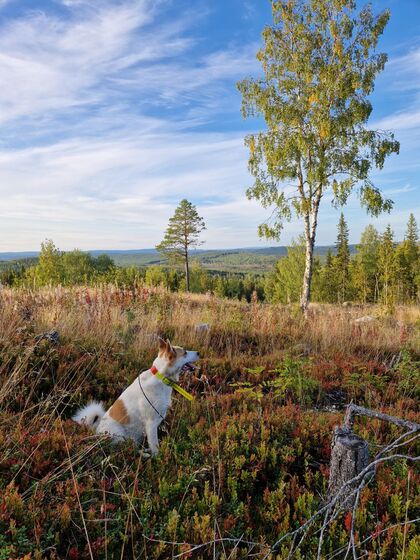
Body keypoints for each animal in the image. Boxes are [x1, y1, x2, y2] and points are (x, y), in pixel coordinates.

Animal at [72, 336, 200, 456]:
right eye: (185, 352)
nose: (199, 352)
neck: (160, 377)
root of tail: (97, 430)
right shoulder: (151, 424)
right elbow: (155, 446)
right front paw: (157, 458)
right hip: (120, 437)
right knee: (129, 449)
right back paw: (145, 454)